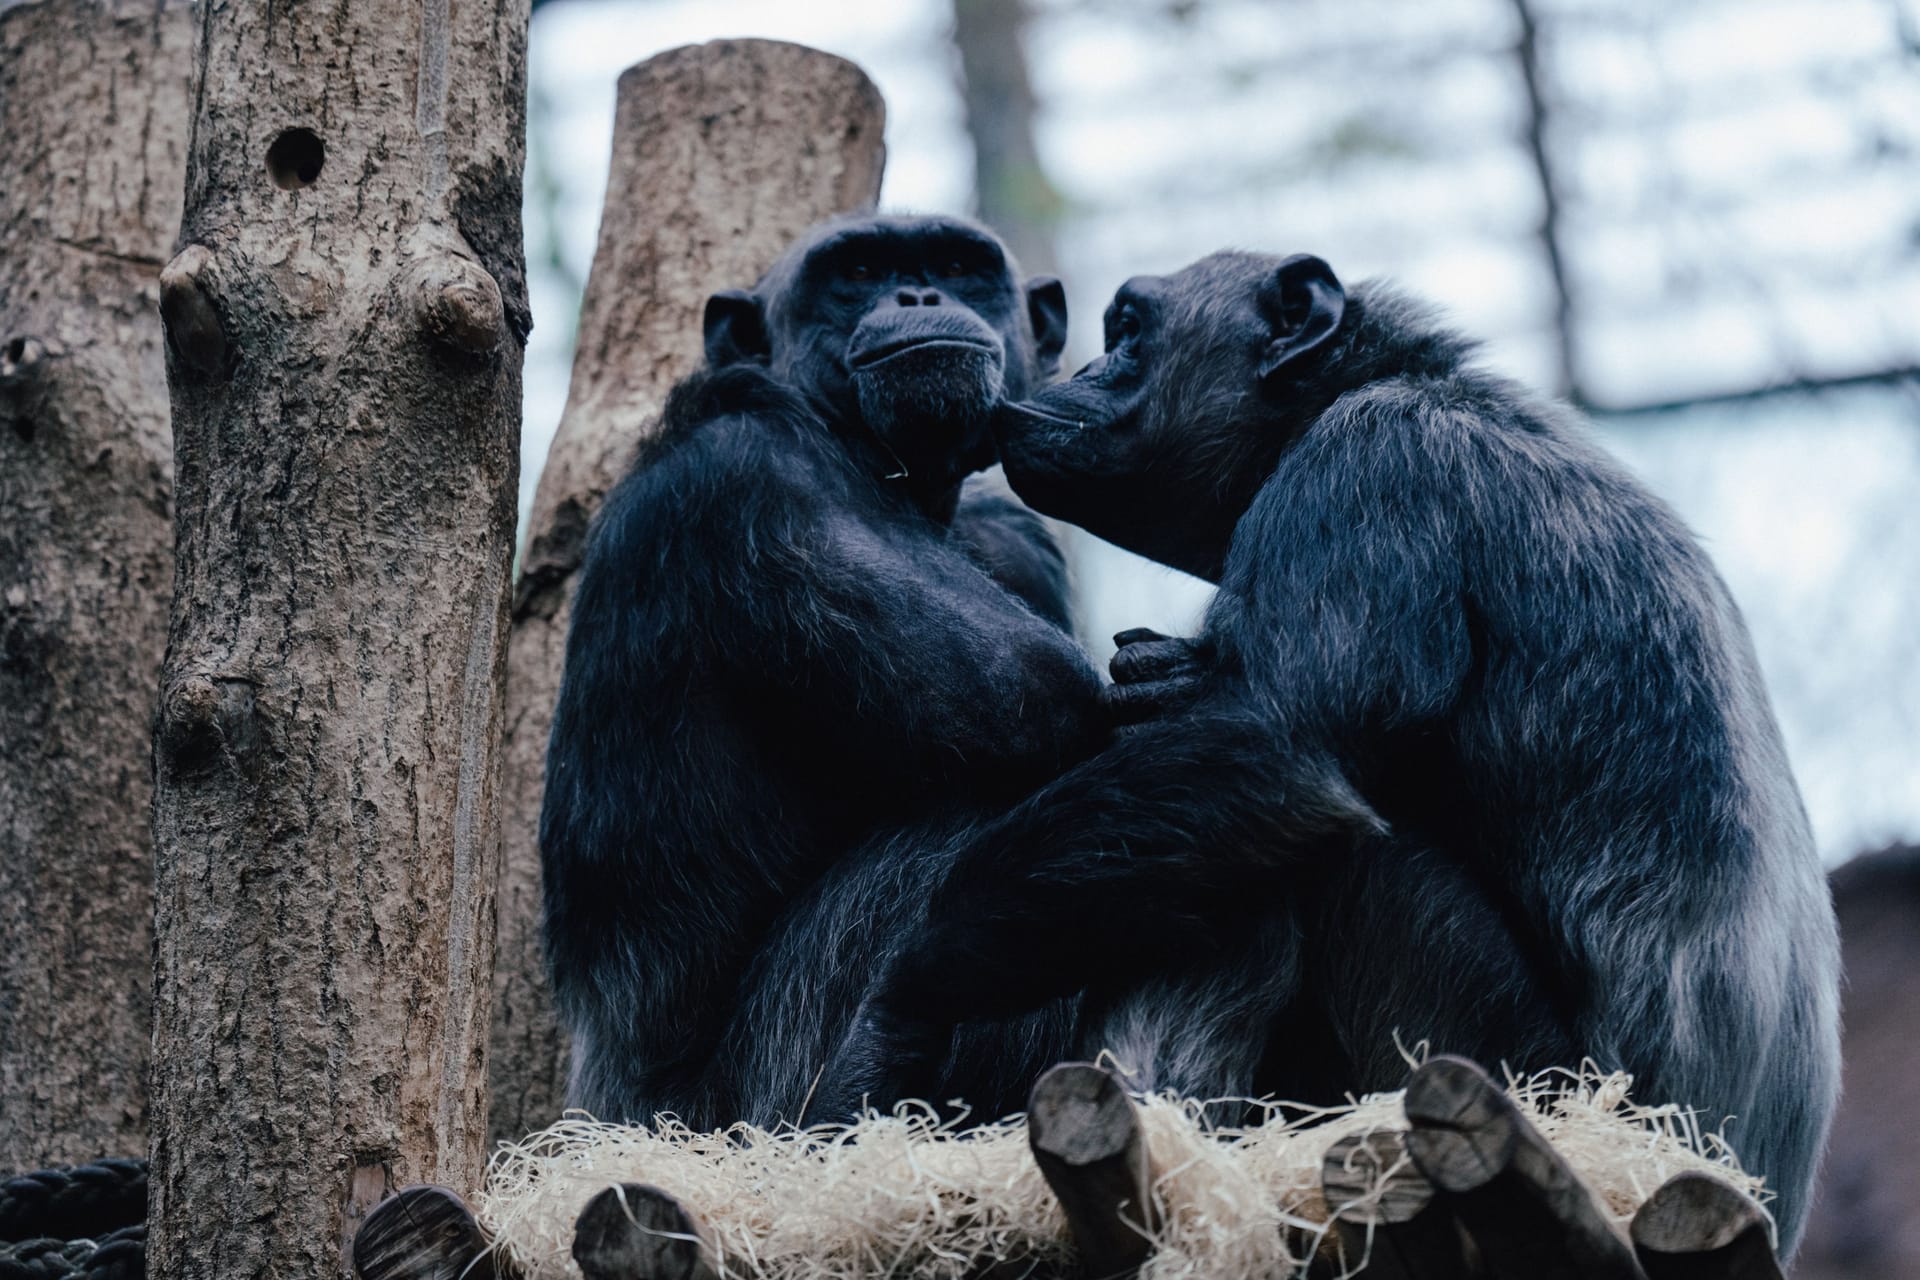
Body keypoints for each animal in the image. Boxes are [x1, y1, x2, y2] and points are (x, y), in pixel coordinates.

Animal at [541, 217, 1113, 1128]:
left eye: (958, 265)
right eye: (860, 271)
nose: (915, 292)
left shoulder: (1019, 543)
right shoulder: (757, 480)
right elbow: (1043, 690)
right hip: (756, 1105)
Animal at [833, 255, 1835, 1258]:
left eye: (1128, 329)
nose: (1083, 367)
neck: (1368, 386)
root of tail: (1741, 1188)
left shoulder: (1370, 471)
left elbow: (1278, 749)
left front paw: (894, 1019)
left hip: (1520, 1075)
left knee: (1314, 859)